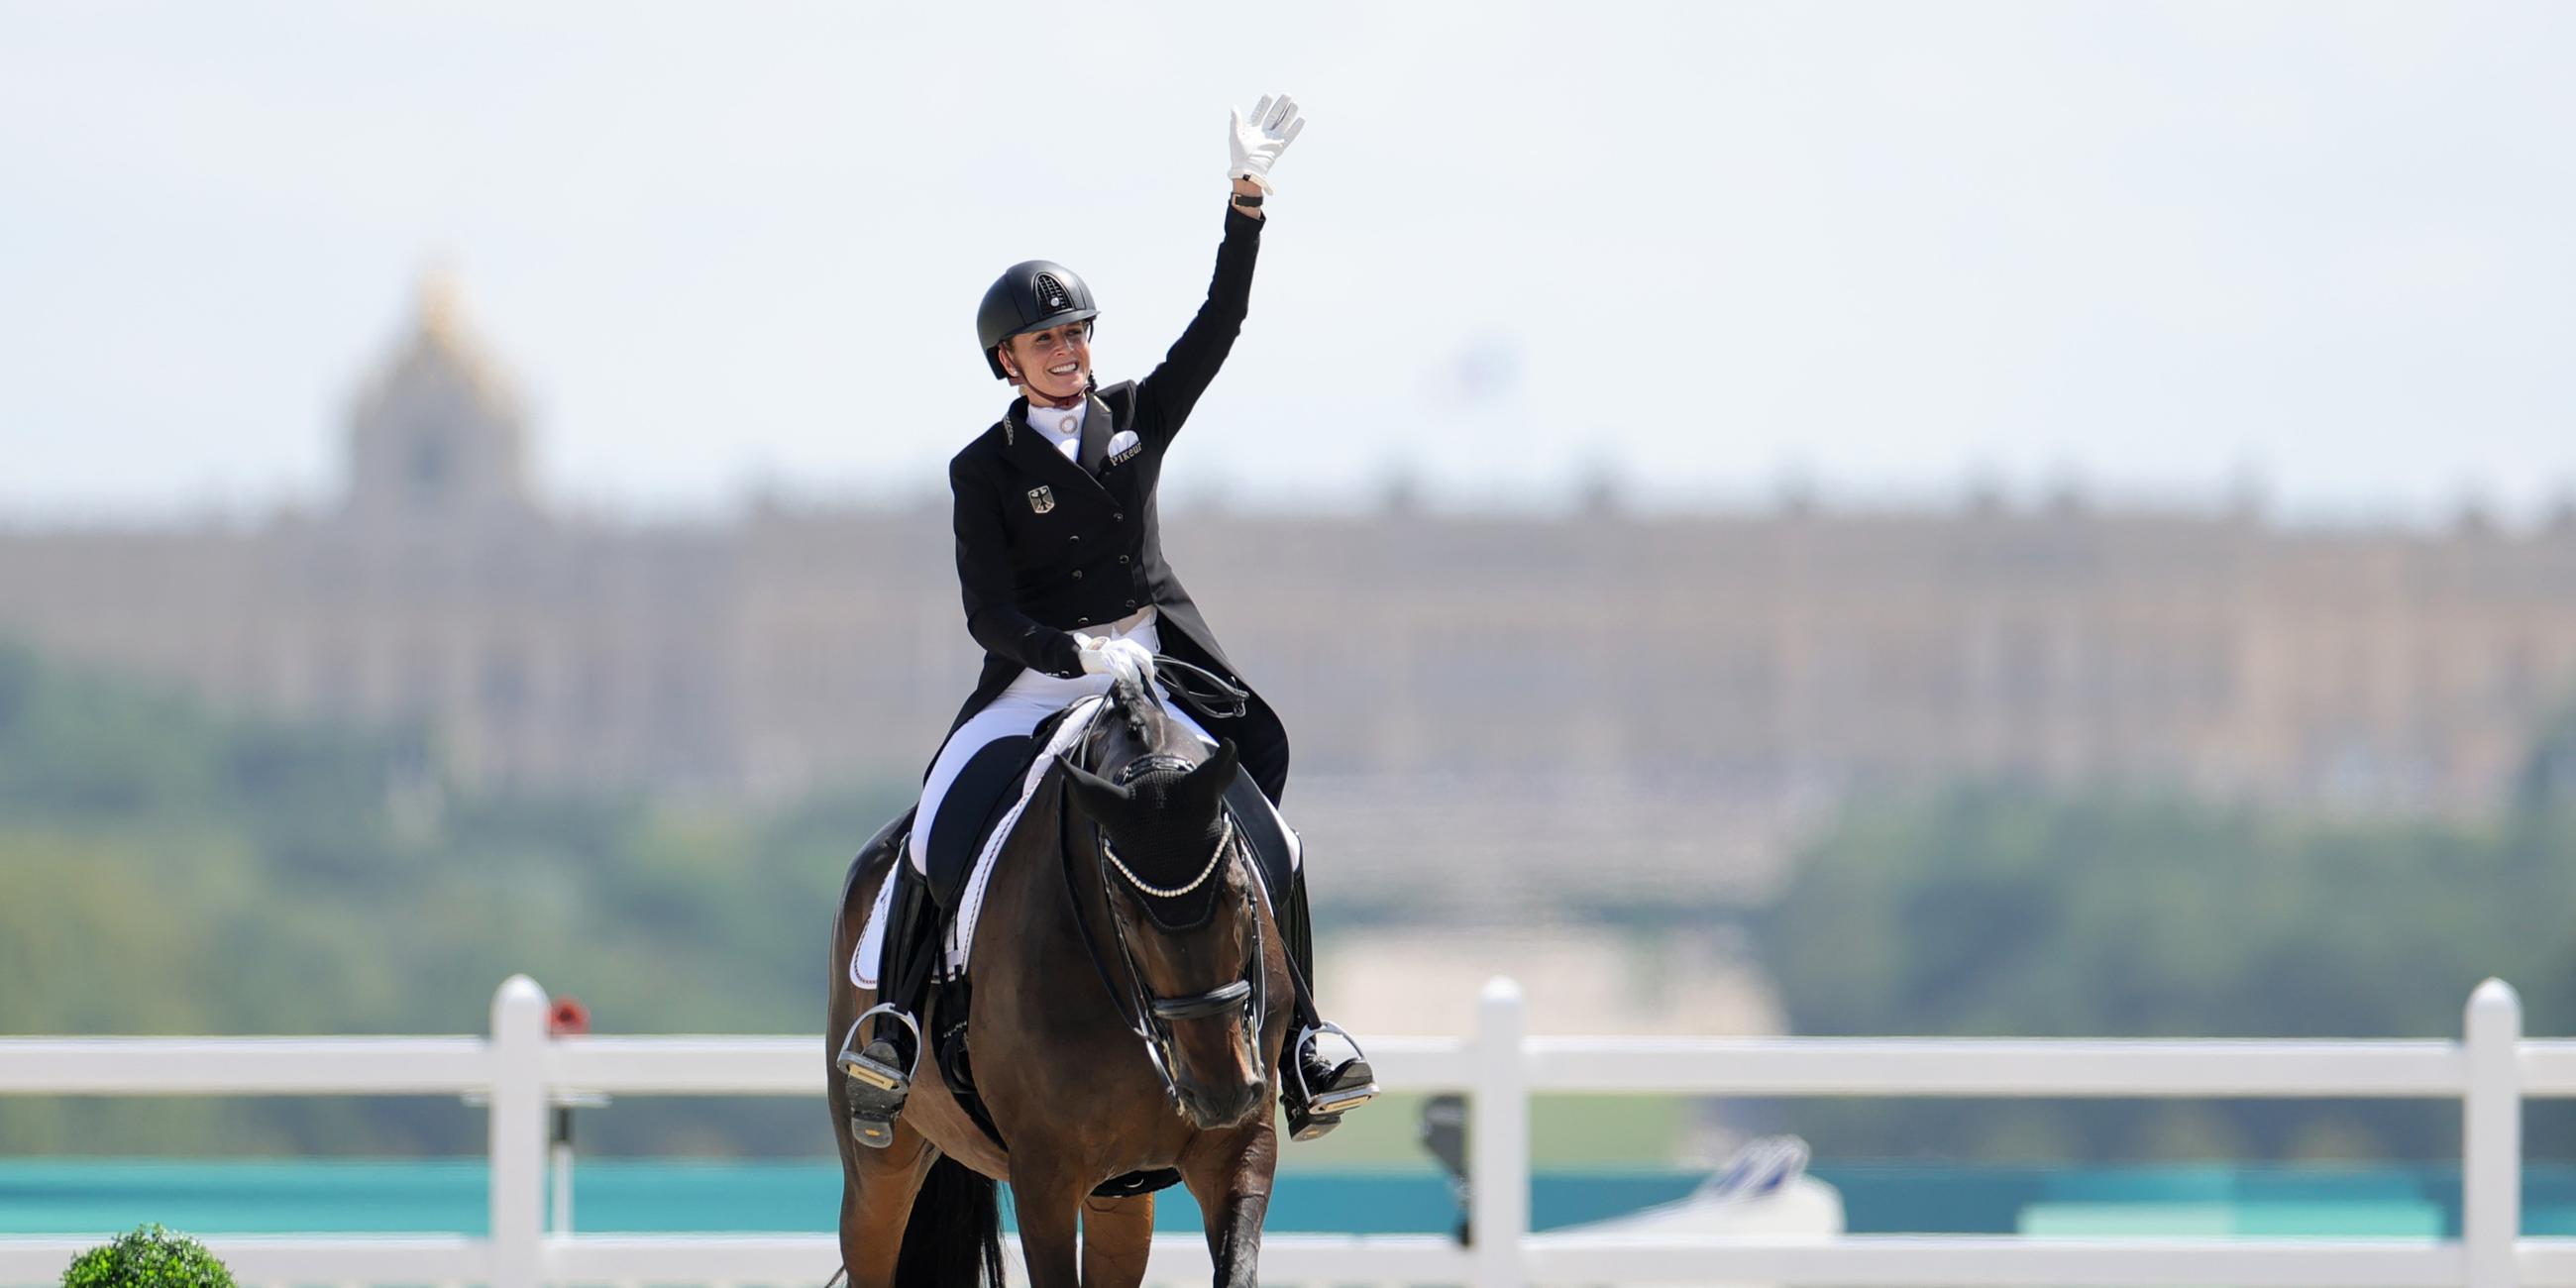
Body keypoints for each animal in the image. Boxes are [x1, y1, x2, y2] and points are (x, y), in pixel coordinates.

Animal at [829, 675, 1288, 1288]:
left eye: (1240, 891)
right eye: (1124, 910)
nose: (1221, 1091)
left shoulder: (1239, 1147)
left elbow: (1237, 1266)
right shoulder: (1044, 1175)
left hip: (1121, 1195)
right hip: (878, 1168)